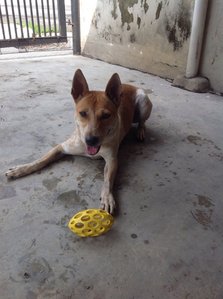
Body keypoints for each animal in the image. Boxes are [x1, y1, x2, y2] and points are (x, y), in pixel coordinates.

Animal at [5, 69, 152, 216]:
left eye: (106, 115)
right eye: (83, 113)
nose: (91, 140)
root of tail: (128, 85)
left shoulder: (112, 160)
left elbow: (108, 180)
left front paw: (107, 197)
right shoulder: (62, 147)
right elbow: (40, 161)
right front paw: (21, 169)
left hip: (143, 102)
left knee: (142, 121)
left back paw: (140, 131)